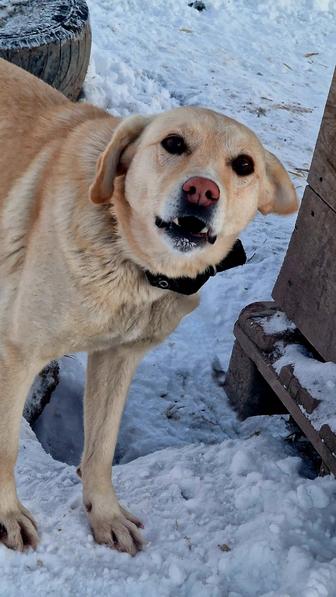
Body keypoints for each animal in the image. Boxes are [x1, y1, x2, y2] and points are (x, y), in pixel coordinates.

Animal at [0, 57, 296, 556]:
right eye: (173, 143)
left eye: (244, 165)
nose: (202, 191)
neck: (132, 263)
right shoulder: (19, 352)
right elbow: (7, 445)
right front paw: (4, 515)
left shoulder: (117, 359)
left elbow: (100, 450)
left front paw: (105, 514)